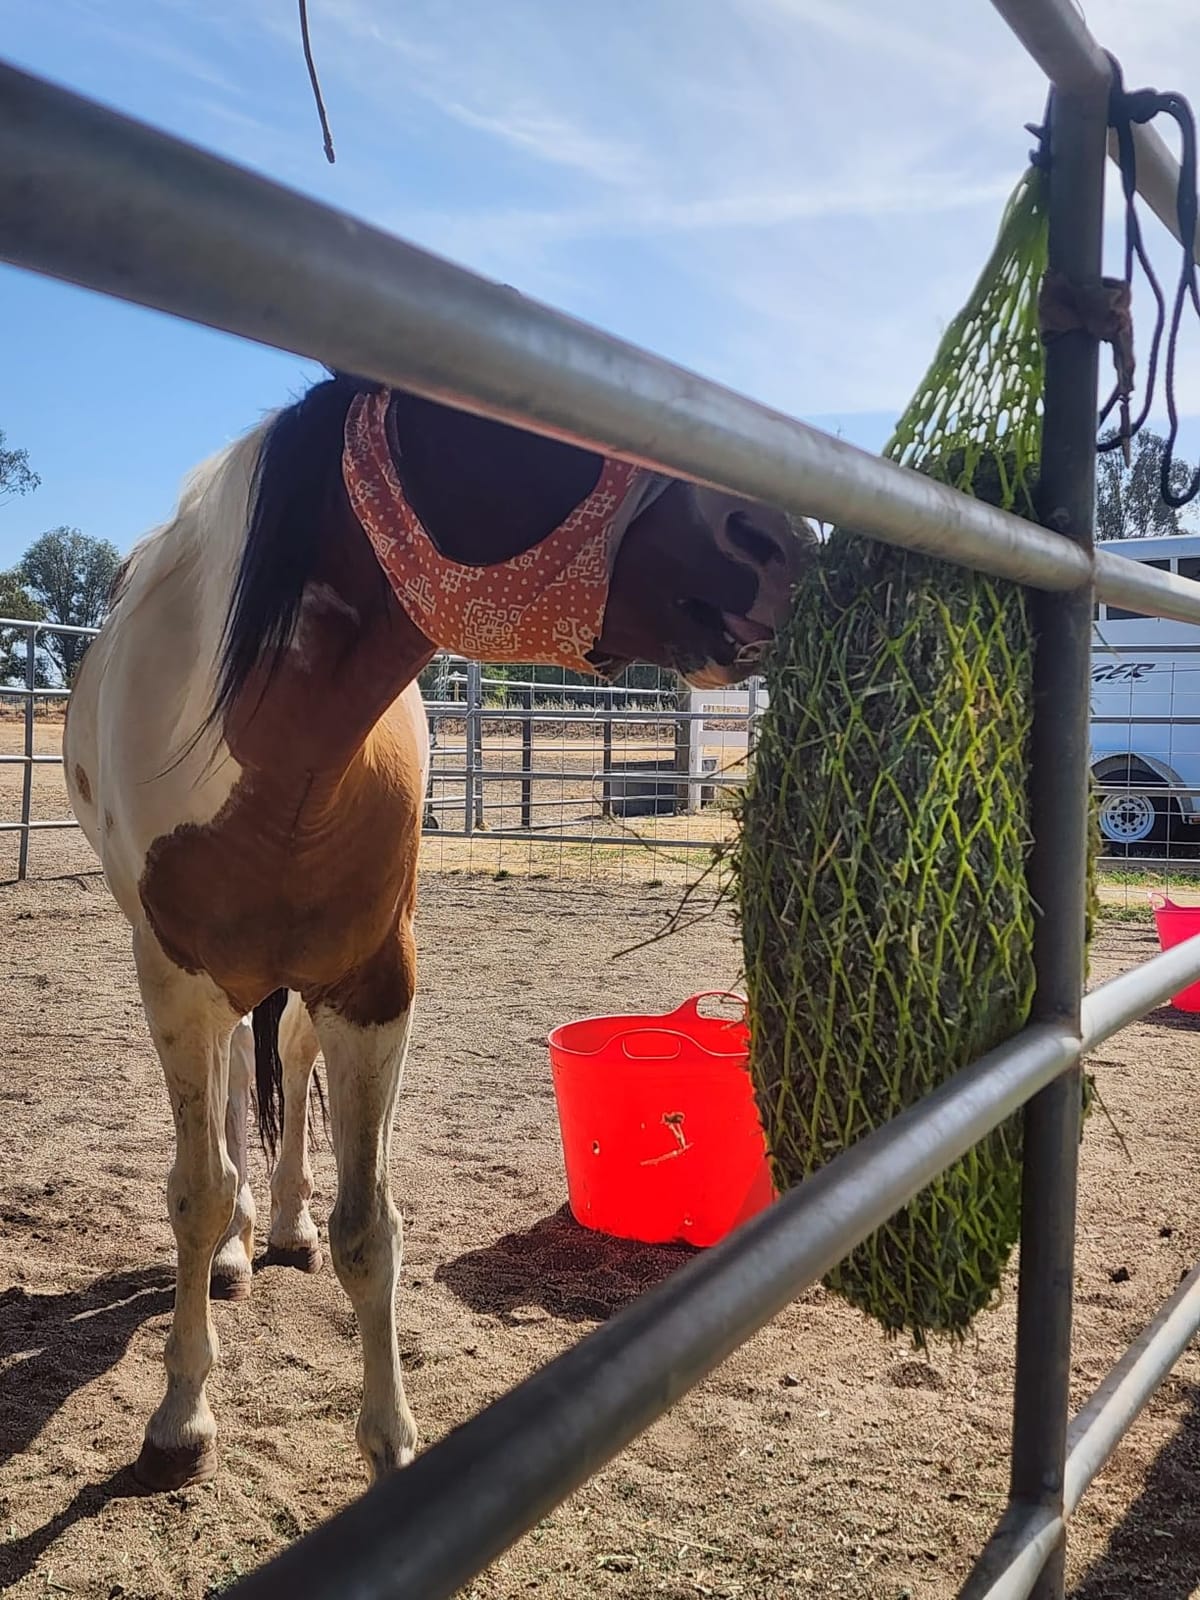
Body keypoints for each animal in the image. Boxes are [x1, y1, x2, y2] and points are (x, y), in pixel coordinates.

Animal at [63, 369, 813, 1492]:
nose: (777, 540)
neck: (267, 764)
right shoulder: (177, 982)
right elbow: (194, 1192)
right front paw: (183, 1415)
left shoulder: (375, 988)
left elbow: (370, 1227)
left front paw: (389, 1438)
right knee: (238, 1086)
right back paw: (240, 1247)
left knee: (282, 1054)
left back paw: (282, 1226)